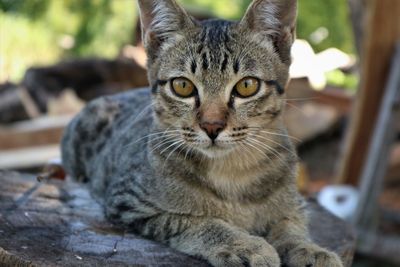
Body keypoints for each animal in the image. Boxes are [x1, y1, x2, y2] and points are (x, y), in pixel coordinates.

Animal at [61, 1, 344, 266]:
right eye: (182, 86)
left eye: (247, 85)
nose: (212, 126)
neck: (233, 171)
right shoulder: (129, 202)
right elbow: (196, 221)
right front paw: (243, 244)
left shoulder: (296, 204)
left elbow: (291, 225)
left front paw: (308, 248)